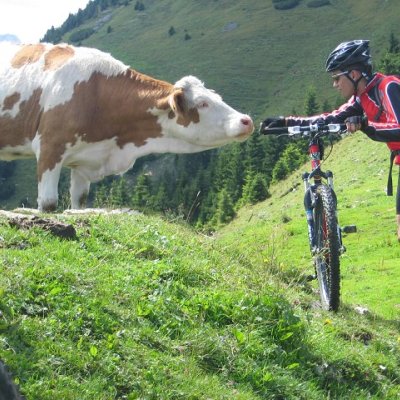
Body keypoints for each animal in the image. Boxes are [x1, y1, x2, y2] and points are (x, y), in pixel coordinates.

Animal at [0, 43, 254, 212]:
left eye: (217, 97)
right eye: (203, 103)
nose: (247, 120)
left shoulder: (83, 161)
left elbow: (78, 206)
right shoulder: (50, 146)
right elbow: (48, 204)